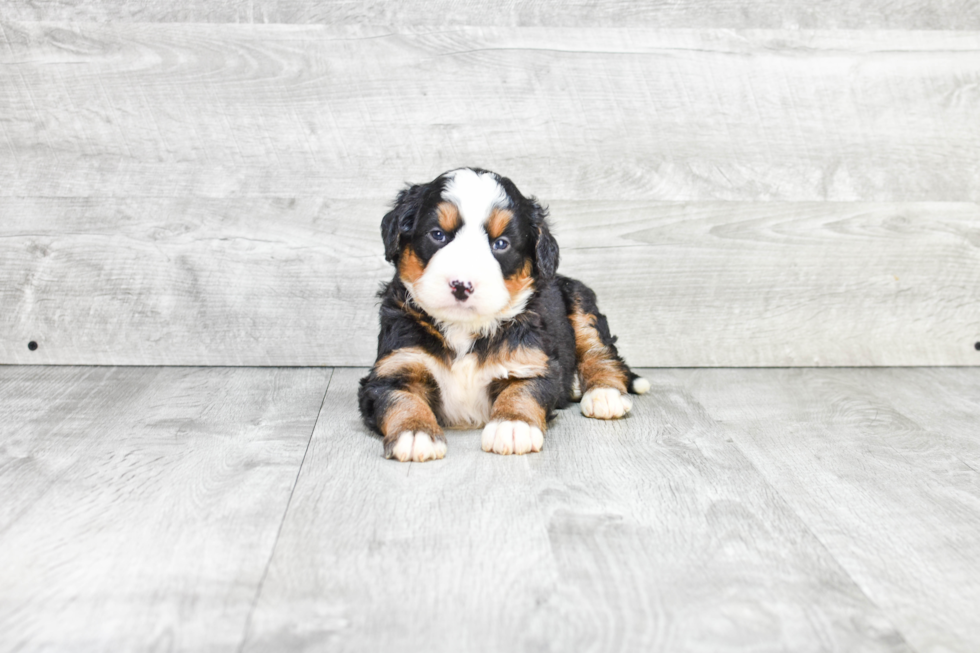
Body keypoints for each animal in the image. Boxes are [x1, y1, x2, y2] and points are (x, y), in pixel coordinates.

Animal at [356, 168, 648, 464]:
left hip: (579, 300)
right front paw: (416, 433)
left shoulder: (530, 363)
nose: (461, 284)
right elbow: (401, 399)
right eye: (438, 234)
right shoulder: (394, 368)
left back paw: (604, 394)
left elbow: (521, 391)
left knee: (600, 353)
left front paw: (513, 426)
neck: (463, 329)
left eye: (501, 244)